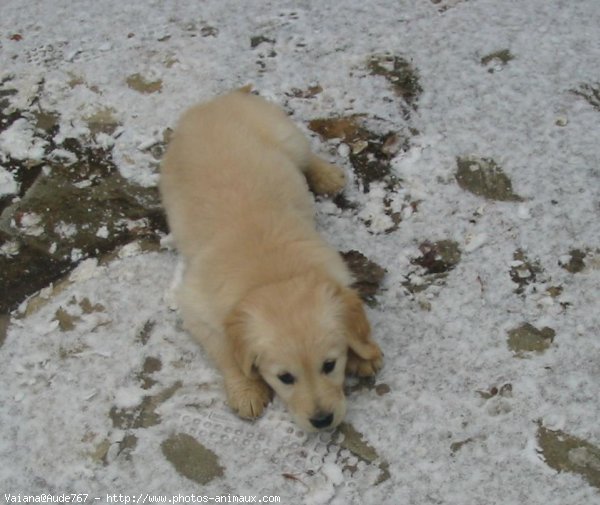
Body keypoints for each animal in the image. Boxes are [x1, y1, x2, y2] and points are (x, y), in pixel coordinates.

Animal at [159, 87, 382, 430]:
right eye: (285, 377)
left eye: (330, 365)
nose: (322, 421)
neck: (273, 277)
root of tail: (209, 104)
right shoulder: (195, 308)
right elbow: (226, 351)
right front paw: (247, 390)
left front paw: (362, 353)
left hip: (286, 134)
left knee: (305, 155)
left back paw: (327, 175)